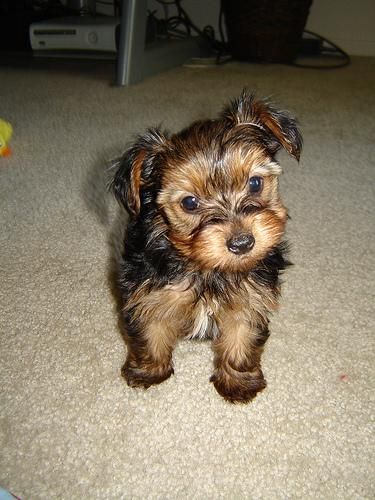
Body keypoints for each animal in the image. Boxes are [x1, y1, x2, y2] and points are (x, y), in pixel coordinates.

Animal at [111, 91, 302, 402]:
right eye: (190, 203)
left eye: (255, 183)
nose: (242, 242)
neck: (208, 268)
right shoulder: (149, 292)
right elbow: (151, 328)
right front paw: (148, 371)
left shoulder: (250, 297)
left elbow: (241, 337)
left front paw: (238, 383)